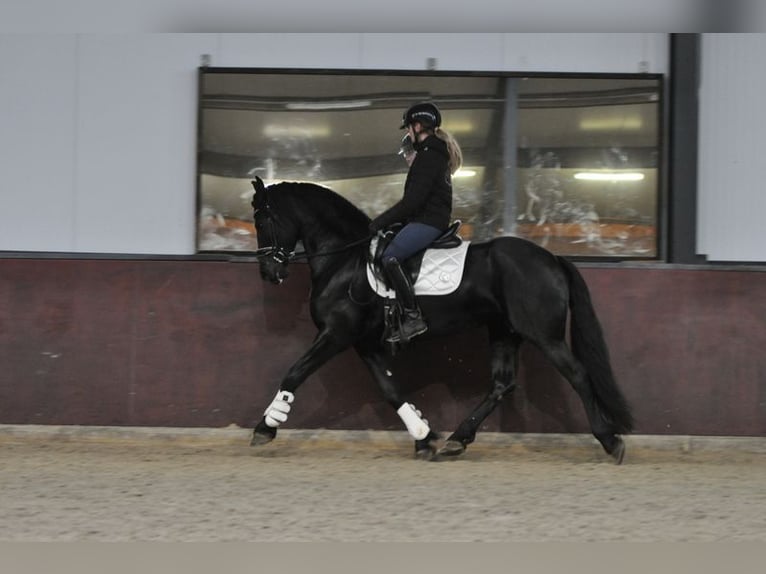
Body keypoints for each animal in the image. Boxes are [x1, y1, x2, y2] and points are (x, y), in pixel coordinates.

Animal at [252, 176, 636, 464]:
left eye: (263, 219)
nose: (269, 272)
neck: (345, 260)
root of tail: (553, 258)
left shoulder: (336, 333)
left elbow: (294, 373)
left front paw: (265, 427)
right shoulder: (364, 342)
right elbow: (390, 389)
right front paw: (424, 437)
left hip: (544, 335)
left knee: (578, 375)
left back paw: (610, 441)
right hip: (504, 331)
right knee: (502, 384)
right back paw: (457, 440)